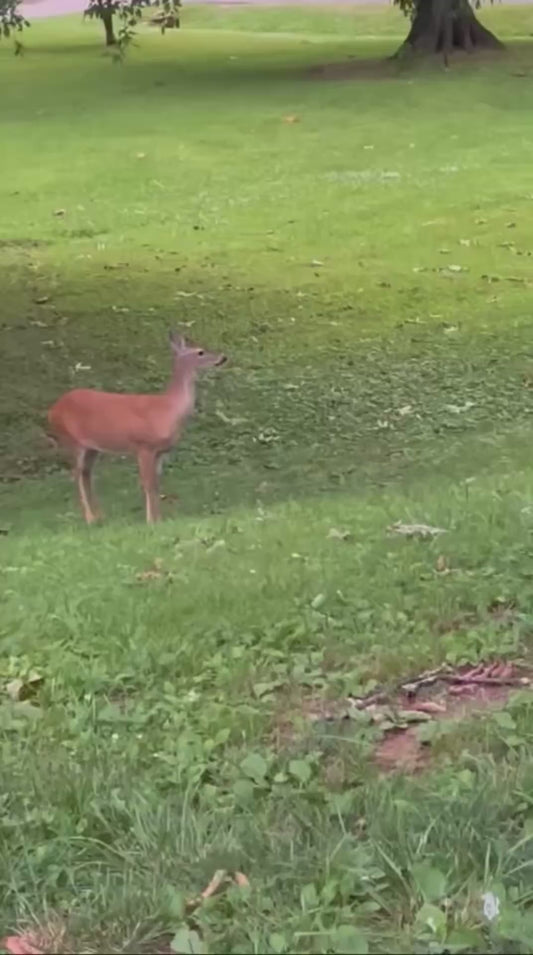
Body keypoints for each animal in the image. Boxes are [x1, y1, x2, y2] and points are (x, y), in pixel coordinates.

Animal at [47, 331, 227, 525]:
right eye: (200, 352)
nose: (223, 357)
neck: (168, 409)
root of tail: (52, 409)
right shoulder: (144, 446)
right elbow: (148, 484)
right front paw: (151, 521)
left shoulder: (160, 452)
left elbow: (157, 484)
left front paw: (159, 519)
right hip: (72, 440)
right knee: (76, 475)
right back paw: (90, 518)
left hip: (92, 448)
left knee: (87, 475)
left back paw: (99, 515)